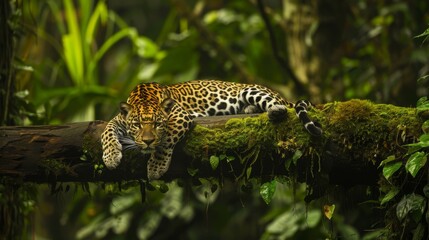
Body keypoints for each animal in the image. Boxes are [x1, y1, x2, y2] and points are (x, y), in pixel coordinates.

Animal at [101, 79, 320, 180]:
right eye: (137, 125)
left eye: (158, 124)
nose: (147, 142)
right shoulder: (118, 119)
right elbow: (106, 130)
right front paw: (111, 156)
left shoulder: (179, 116)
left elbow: (166, 142)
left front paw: (156, 167)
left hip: (251, 90)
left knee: (283, 108)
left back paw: (273, 110)